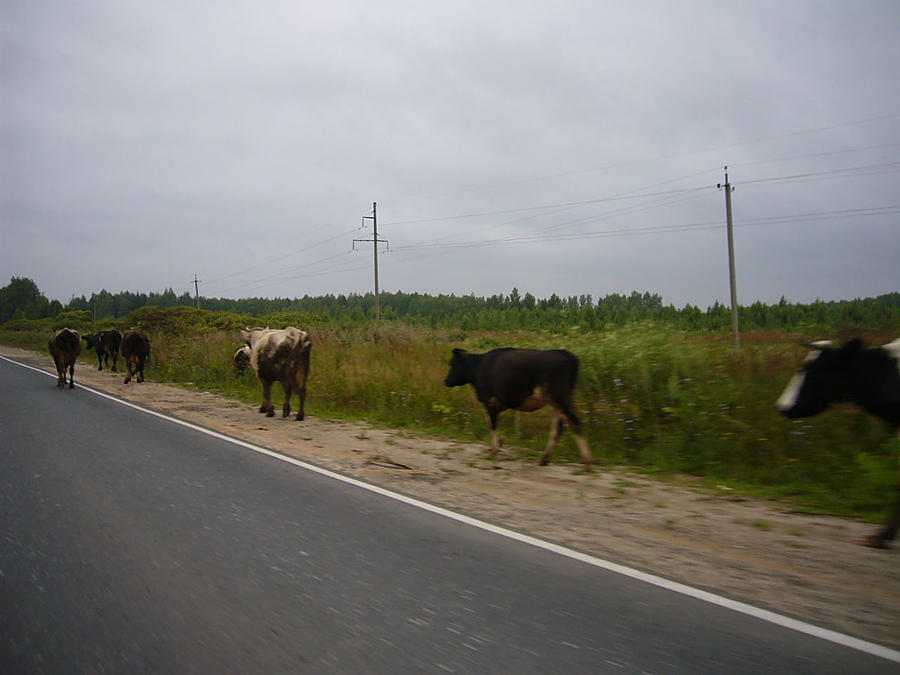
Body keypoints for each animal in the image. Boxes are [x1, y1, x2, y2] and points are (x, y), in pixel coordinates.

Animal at [444, 348, 596, 470]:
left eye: (452, 363)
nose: (446, 381)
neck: (478, 368)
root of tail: (564, 353)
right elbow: (492, 425)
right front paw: (497, 445)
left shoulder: (490, 402)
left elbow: (492, 426)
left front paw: (493, 455)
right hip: (560, 400)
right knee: (559, 427)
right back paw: (544, 460)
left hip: (558, 398)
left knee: (575, 423)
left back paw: (588, 463)